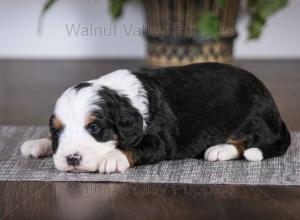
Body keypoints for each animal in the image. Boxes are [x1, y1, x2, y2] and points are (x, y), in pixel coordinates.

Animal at [20, 62, 290, 173]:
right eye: (57, 131)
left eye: (95, 128)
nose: (72, 159)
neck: (122, 95)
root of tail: (276, 110)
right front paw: (38, 143)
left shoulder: (161, 141)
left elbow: (135, 147)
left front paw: (112, 158)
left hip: (252, 117)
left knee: (248, 142)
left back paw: (220, 149)